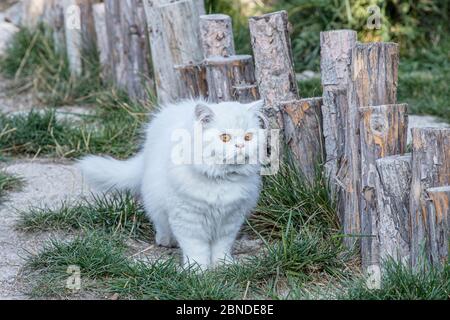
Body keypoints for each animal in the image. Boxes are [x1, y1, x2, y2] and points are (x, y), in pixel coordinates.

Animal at [78, 100, 268, 270]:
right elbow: (196, 249)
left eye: (248, 137)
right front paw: (198, 271)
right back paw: (166, 241)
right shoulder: (187, 218)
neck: (221, 179)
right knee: (160, 223)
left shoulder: (230, 219)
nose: (241, 145)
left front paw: (223, 265)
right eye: (225, 138)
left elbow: (221, 247)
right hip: (156, 200)